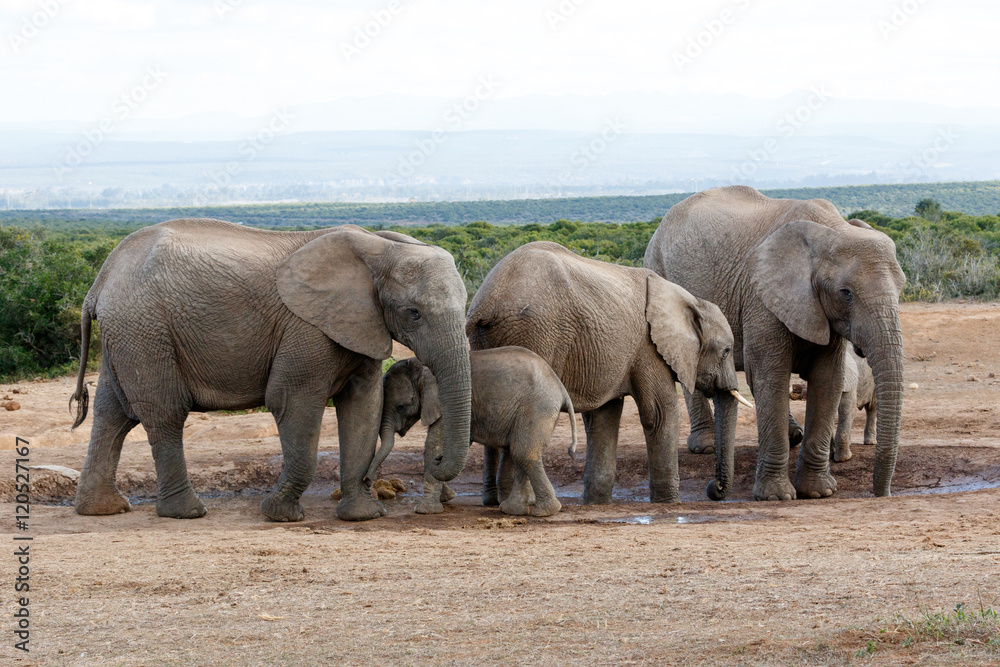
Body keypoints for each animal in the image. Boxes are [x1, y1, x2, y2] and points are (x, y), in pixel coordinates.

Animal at [68, 219, 471, 522]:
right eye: (413, 313)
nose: (375, 479)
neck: (381, 248)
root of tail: (100, 280)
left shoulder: (359, 325)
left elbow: (363, 406)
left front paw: (361, 516)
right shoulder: (306, 327)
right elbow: (292, 401)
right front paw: (279, 514)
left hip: (129, 333)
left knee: (112, 413)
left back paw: (103, 510)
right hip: (145, 329)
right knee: (164, 412)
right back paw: (187, 512)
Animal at [369, 347, 577, 517]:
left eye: (401, 407)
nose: (367, 478)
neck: (421, 367)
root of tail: (561, 389)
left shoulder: (444, 403)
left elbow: (434, 445)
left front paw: (424, 511)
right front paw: (446, 498)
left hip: (537, 408)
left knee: (523, 452)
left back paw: (544, 512)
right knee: (519, 451)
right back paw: (514, 510)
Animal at [466, 241, 752, 505]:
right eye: (726, 351)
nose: (714, 489)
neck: (690, 301)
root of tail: (486, 304)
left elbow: (603, 417)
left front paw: (596, 502)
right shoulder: (648, 347)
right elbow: (660, 414)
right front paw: (669, 503)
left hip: (488, 339)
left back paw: (495, 501)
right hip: (534, 332)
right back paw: (519, 503)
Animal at [644, 185, 905, 501]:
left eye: (902, 287)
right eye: (846, 293)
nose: (881, 493)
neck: (831, 230)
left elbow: (828, 379)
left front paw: (818, 492)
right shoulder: (761, 297)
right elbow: (771, 376)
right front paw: (777, 496)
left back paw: (794, 435)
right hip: (657, 267)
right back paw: (705, 446)